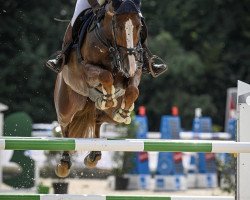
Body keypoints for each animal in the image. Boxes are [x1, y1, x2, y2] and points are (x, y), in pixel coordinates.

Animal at [54, 0, 144, 178]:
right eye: (118, 26)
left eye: (139, 27)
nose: (128, 66)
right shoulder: (85, 70)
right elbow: (105, 75)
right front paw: (108, 98)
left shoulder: (135, 70)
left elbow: (133, 89)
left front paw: (124, 111)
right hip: (67, 107)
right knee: (65, 127)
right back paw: (64, 163)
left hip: (106, 116)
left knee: (98, 120)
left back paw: (94, 154)